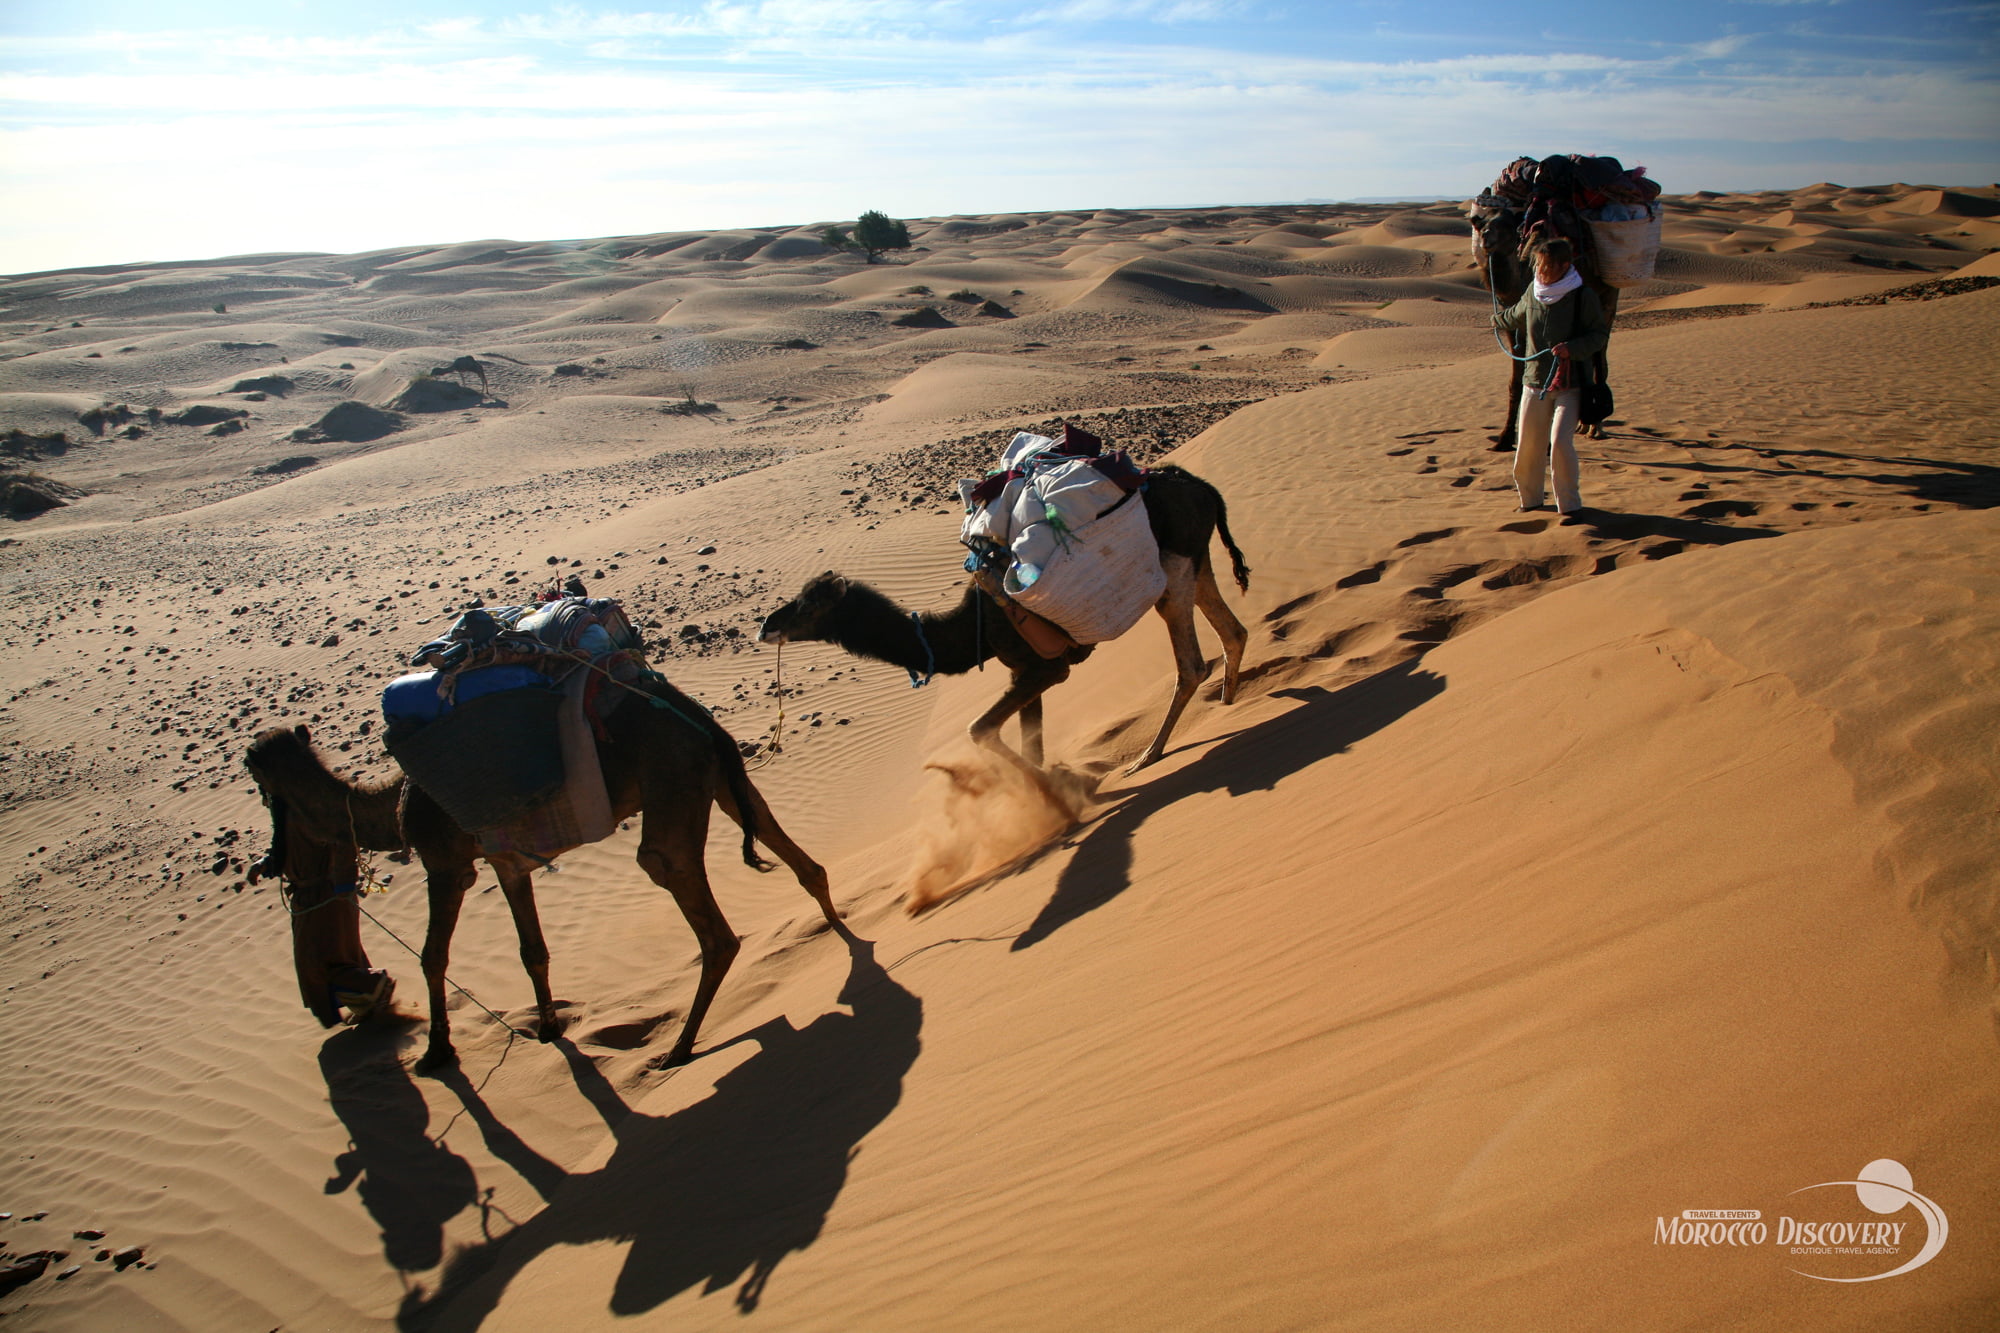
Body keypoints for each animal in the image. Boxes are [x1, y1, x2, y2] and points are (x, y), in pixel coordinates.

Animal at [245, 672, 837, 1072]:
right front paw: (549, 1027)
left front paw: (437, 1052)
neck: (391, 803)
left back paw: (679, 1048)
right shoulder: (508, 862)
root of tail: (695, 715)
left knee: (692, 902)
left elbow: (432, 956)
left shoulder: (447, 862)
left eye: (258, 781)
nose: (266, 864)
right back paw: (837, 935)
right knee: (784, 842)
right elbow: (532, 949)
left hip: (672, 782)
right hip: (714, 774)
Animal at [758, 464, 1250, 789]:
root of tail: (1203, 487)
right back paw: (1229, 701)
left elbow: (979, 728)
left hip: (1174, 568)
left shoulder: (1047, 668)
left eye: (808, 606)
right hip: (1195, 558)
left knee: (1190, 664)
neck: (970, 630)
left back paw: (1148, 756)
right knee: (1232, 629)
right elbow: (1029, 740)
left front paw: (1059, 793)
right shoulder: (1024, 670)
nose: (766, 626)